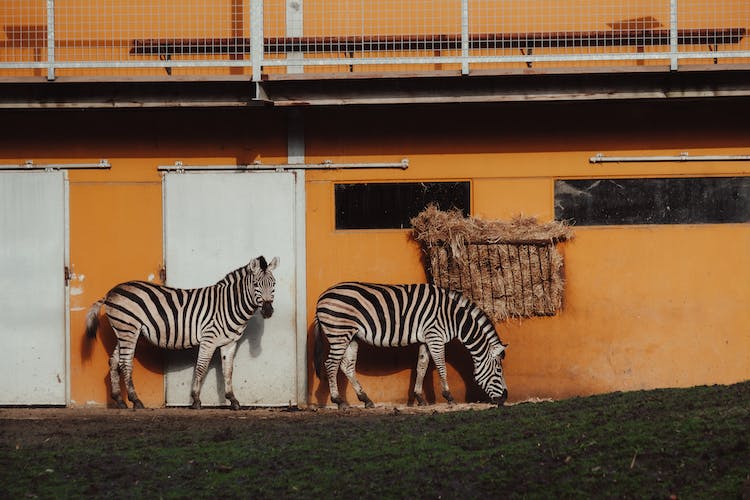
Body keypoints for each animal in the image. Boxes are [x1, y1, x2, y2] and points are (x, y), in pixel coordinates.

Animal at [85, 256, 280, 412]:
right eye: (256, 285)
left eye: (274, 284)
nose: (268, 311)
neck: (229, 304)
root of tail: (110, 293)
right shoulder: (209, 338)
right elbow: (201, 368)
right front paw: (196, 400)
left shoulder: (229, 343)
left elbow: (228, 371)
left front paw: (233, 400)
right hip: (129, 329)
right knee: (125, 363)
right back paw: (136, 401)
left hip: (124, 330)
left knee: (114, 361)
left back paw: (119, 400)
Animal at [312, 284, 512, 408]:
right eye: (499, 371)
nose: (504, 399)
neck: (453, 317)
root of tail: (321, 297)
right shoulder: (435, 336)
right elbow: (441, 367)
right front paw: (449, 397)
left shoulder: (426, 339)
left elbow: (421, 367)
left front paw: (419, 398)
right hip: (339, 332)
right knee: (331, 364)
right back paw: (339, 401)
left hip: (350, 336)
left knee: (347, 366)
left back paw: (365, 399)